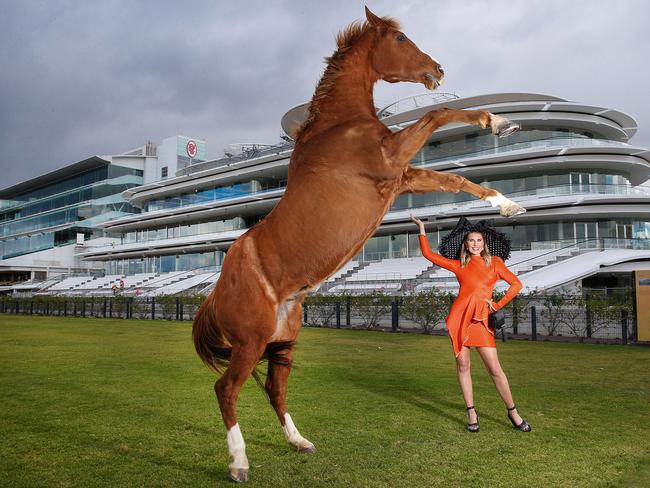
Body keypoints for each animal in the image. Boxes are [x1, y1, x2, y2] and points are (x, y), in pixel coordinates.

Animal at [191, 6, 520, 480]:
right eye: (400, 40)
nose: (437, 69)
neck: (338, 127)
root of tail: (217, 291)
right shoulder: (391, 161)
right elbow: (436, 115)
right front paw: (497, 123)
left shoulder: (402, 177)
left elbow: (454, 178)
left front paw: (507, 199)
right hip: (250, 343)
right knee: (226, 389)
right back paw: (239, 463)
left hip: (282, 342)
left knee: (274, 389)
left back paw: (299, 442)